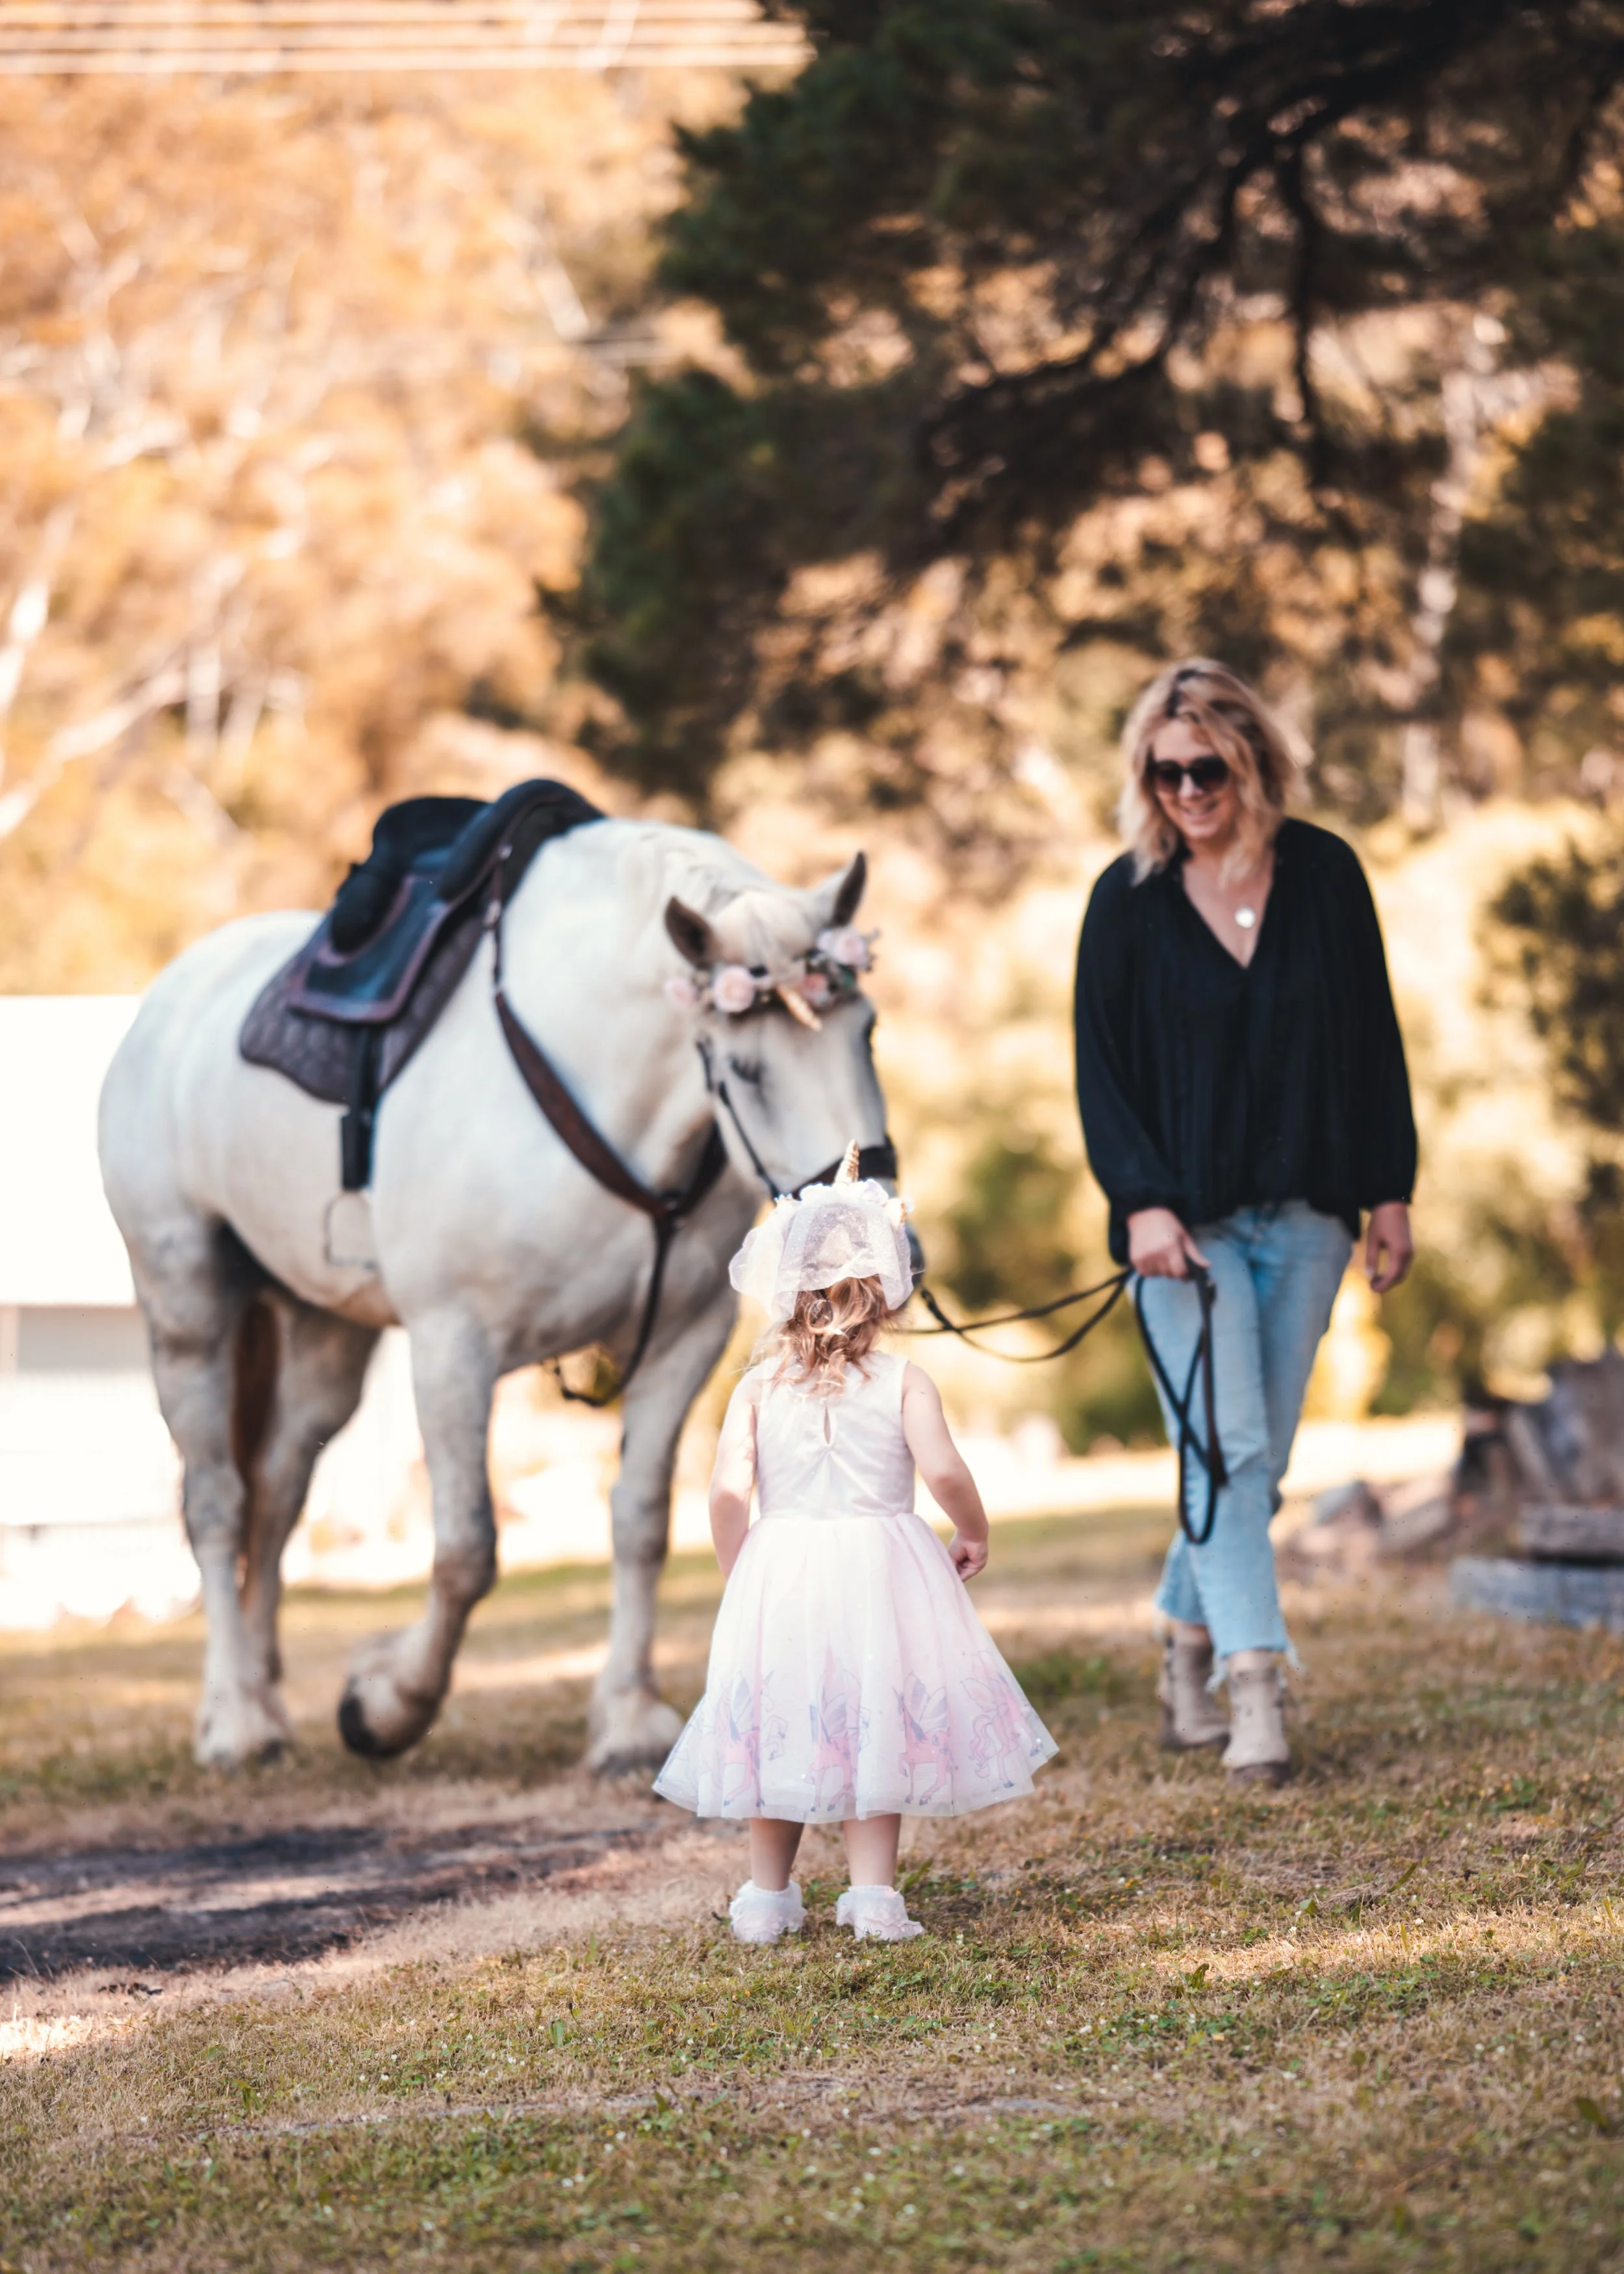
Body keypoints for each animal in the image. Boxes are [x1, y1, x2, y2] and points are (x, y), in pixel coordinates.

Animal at [98, 814, 898, 1775]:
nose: (866, 1235)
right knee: (218, 1504)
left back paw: (262, 1698)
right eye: (745, 1069)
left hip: (325, 1331)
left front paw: (627, 1718)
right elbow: (467, 1551)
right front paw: (388, 1705)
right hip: (188, 1306)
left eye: (867, 1030)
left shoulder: (685, 1338)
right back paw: (233, 1720)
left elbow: (640, 1523)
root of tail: (166, 1002)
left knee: (277, 1497)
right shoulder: (452, 1345)